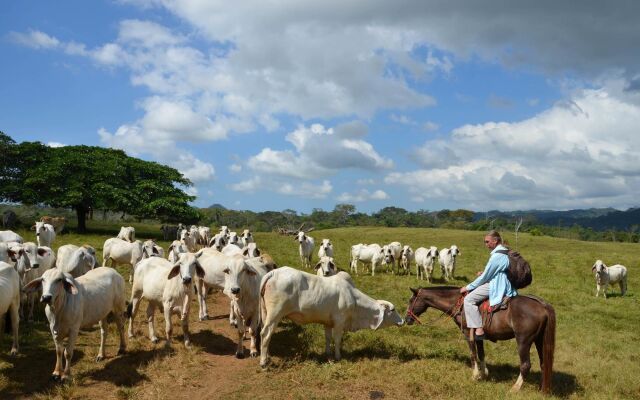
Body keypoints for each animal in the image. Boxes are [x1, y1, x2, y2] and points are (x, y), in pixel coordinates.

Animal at [258, 268, 402, 368]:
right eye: (393, 310)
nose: (402, 321)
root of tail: (273, 273)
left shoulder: (327, 322)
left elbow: (327, 338)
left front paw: (328, 354)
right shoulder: (339, 322)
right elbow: (337, 340)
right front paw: (338, 356)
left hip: (266, 314)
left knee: (266, 335)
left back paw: (267, 356)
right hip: (275, 314)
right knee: (265, 333)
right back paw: (263, 362)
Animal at [410, 288, 556, 394]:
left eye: (411, 301)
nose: (407, 319)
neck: (460, 304)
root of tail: (542, 305)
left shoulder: (468, 333)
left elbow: (473, 354)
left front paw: (475, 375)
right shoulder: (478, 335)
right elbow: (481, 354)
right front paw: (484, 374)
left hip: (523, 341)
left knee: (526, 365)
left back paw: (514, 388)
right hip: (539, 340)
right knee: (544, 364)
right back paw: (543, 389)